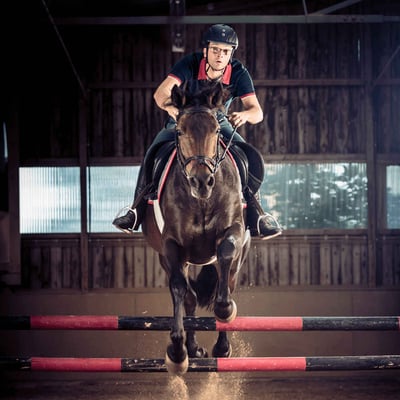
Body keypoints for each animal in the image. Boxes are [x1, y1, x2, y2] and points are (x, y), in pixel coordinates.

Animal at [142, 79, 250, 374]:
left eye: (217, 130)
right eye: (179, 130)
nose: (201, 181)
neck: (202, 199)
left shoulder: (234, 231)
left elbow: (225, 259)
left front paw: (224, 310)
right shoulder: (171, 246)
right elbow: (180, 289)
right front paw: (178, 352)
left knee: (228, 281)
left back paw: (222, 348)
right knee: (189, 296)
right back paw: (192, 348)